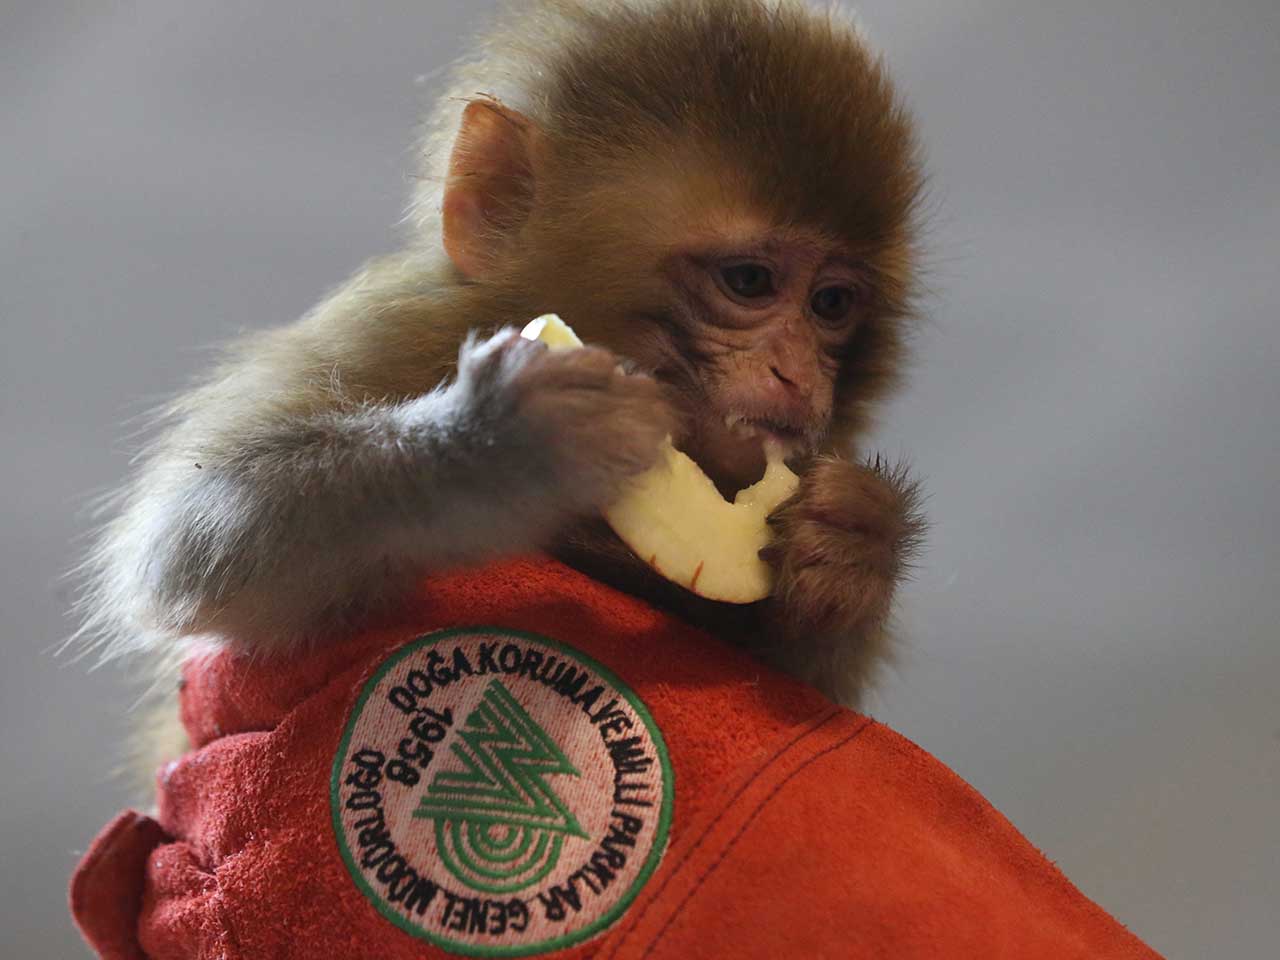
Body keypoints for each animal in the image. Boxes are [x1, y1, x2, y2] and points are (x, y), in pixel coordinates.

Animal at [80, 0, 926, 706]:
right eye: (749, 281)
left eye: (832, 305)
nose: (796, 375)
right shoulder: (383, 334)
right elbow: (189, 539)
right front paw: (495, 446)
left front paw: (857, 542)